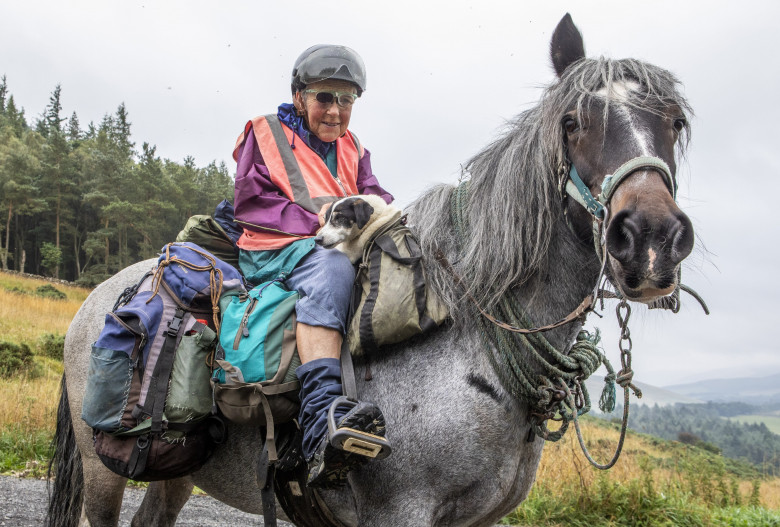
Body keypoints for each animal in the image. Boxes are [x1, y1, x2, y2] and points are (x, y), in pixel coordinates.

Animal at [47, 13, 696, 527]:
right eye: (572, 122)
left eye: (675, 122)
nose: (651, 239)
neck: (469, 338)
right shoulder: (400, 511)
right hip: (103, 472)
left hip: (177, 473)